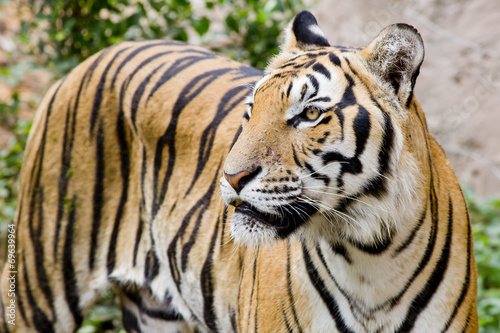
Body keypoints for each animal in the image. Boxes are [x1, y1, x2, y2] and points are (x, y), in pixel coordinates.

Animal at [0, 10, 476, 332]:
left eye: (309, 114)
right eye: (251, 110)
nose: (229, 178)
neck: (371, 255)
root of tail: (100, 53)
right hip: (39, 284)